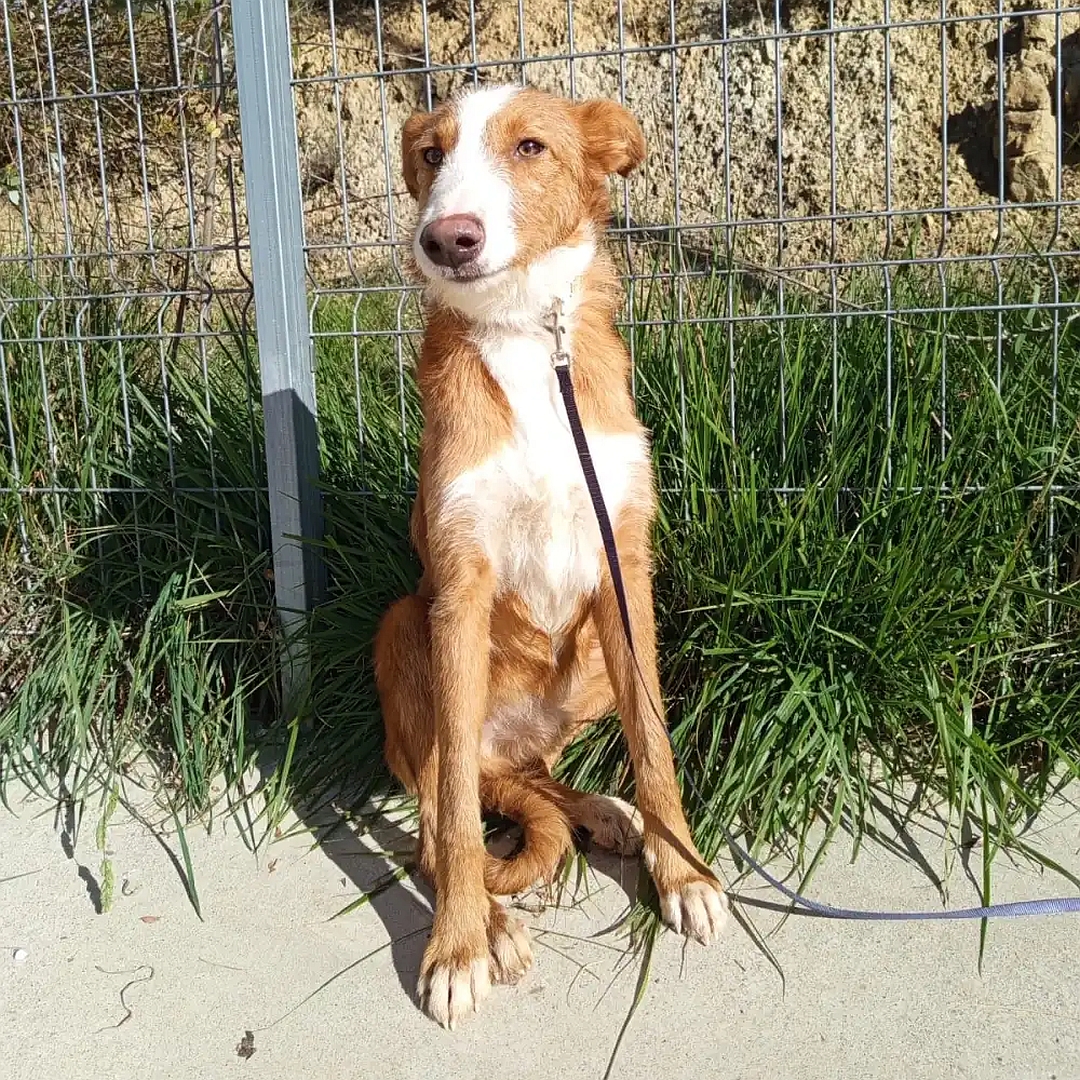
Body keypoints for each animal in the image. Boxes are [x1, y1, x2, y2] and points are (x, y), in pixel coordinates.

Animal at [373, 84, 725, 1028]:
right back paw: (491, 920)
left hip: (597, 655)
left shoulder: (624, 566)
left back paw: (603, 812)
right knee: (446, 803)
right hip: (403, 627)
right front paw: (459, 944)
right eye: (431, 154)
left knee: (532, 776)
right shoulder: (458, 584)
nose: (447, 238)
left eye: (530, 146)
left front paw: (684, 871)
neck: (529, 338)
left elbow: (655, 745)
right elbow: (458, 823)